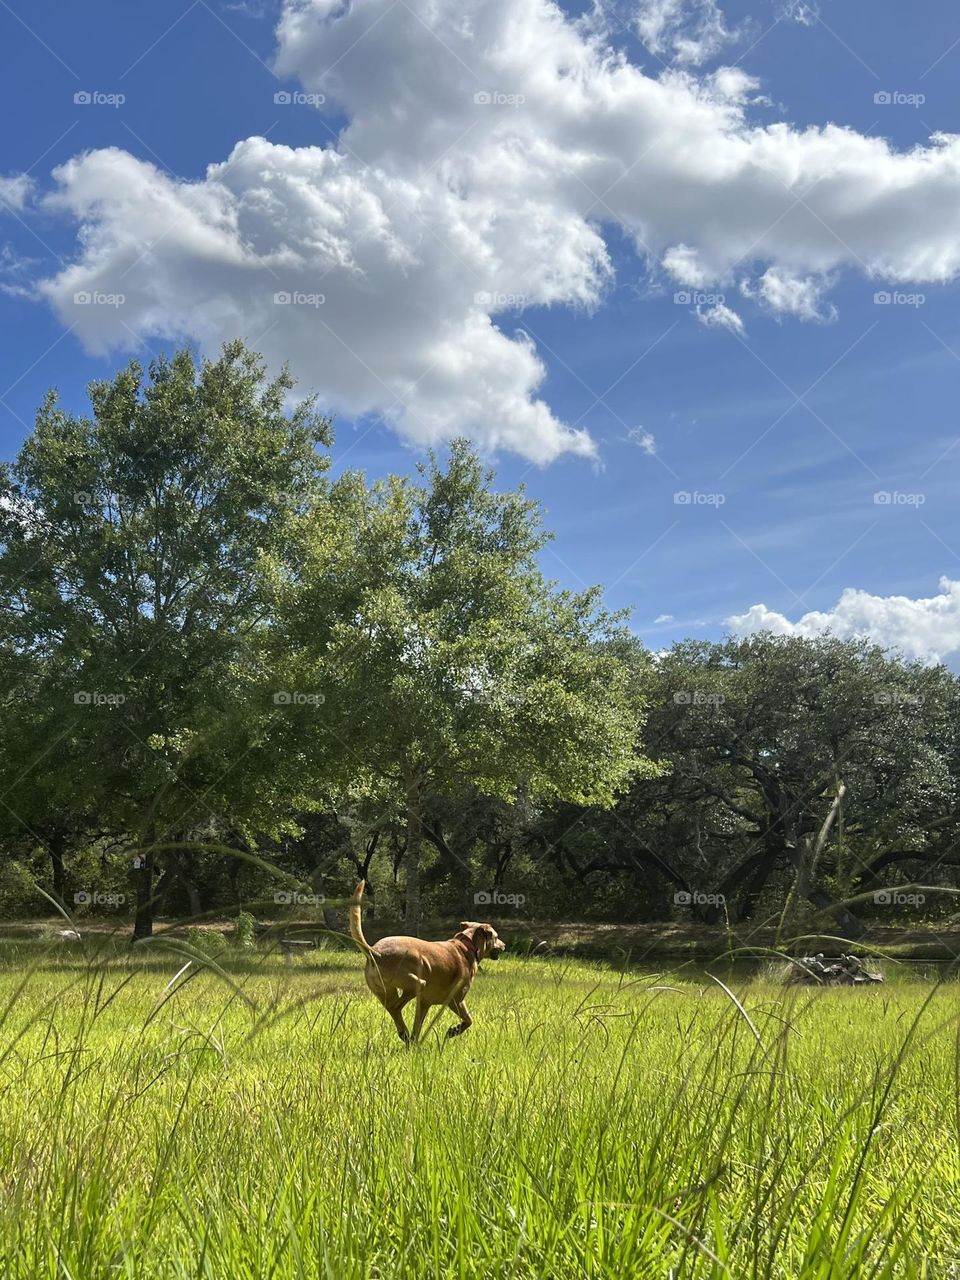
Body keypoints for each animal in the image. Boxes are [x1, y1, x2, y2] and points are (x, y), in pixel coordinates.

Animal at [350, 885, 506, 1044]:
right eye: (496, 937)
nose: (504, 945)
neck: (467, 944)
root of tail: (375, 952)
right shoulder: (456, 1000)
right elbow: (468, 1021)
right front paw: (453, 1031)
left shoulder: (424, 1003)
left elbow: (417, 1029)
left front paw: (415, 1043)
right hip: (417, 983)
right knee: (395, 1008)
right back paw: (404, 1032)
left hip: (385, 992)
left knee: (394, 1011)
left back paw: (405, 1035)